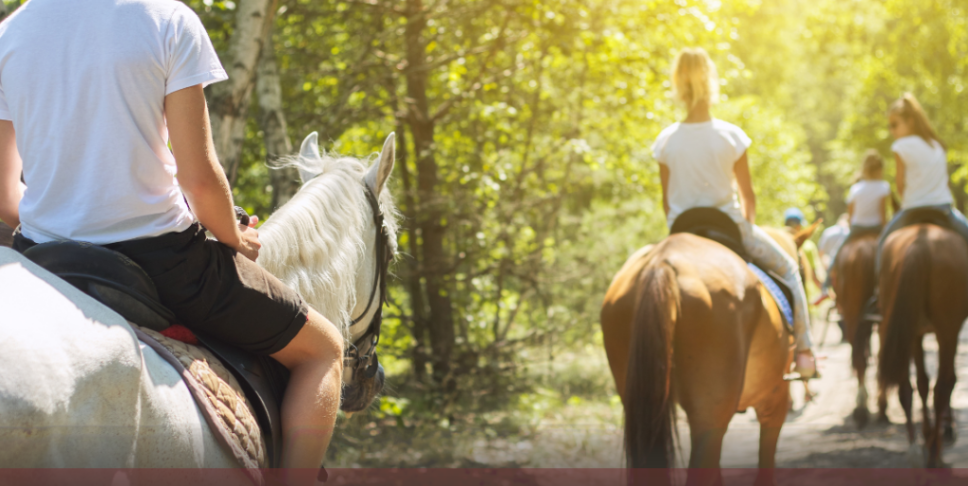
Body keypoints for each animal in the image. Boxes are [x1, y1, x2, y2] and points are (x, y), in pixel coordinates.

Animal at [877, 222, 968, 468]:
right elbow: (944, 382)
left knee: (907, 386)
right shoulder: (946, 333)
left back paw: (916, 447)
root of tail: (920, 244)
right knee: (942, 387)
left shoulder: (915, 333)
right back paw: (935, 452)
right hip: (947, 331)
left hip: (906, 327)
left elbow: (921, 383)